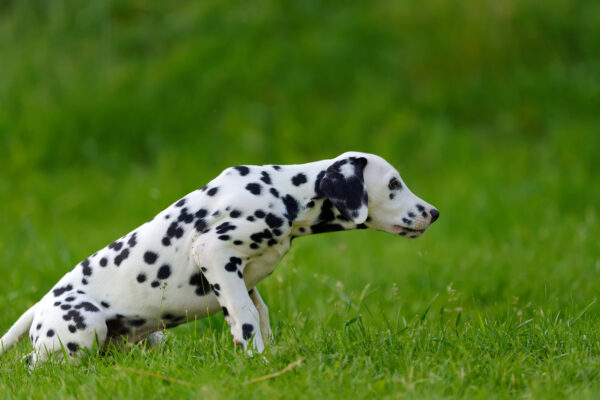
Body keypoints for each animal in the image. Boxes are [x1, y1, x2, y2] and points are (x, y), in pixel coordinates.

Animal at [1, 152, 440, 368]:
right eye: (394, 184)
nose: (434, 213)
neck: (282, 194)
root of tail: (42, 305)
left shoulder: (244, 278)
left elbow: (258, 314)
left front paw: (269, 357)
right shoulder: (215, 253)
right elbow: (245, 318)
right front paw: (256, 360)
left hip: (149, 340)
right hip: (82, 330)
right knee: (33, 365)